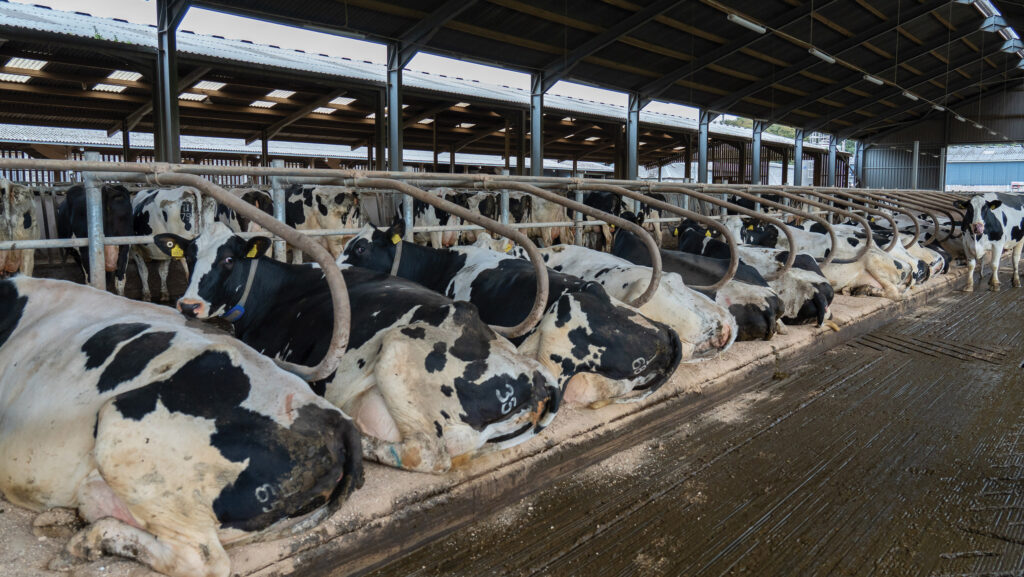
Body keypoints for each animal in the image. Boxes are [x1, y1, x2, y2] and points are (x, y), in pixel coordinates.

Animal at [161, 223, 561, 471]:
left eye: (229, 259)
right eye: (190, 256)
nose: (188, 305)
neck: (275, 292)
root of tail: (535, 375)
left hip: (397, 349)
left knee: (425, 454)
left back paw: (363, 440)